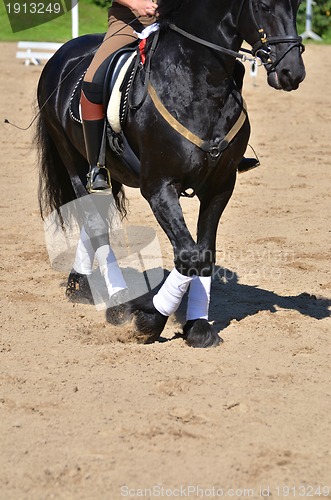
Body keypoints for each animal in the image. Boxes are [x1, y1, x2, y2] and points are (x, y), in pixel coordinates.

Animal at [36, 0, 306, 348]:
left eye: (296, 6)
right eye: (263, 6)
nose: (292, 72)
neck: (200, 82)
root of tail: (63, 53)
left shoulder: (220, 186)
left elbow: (203, 253)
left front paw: (198, 326)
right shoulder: (159, 187)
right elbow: (188, 254)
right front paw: (149, 319)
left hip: (109, 172)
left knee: (95, 218)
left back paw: (80, 285)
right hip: (74, 161)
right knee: (94, 224)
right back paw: (118, 300)